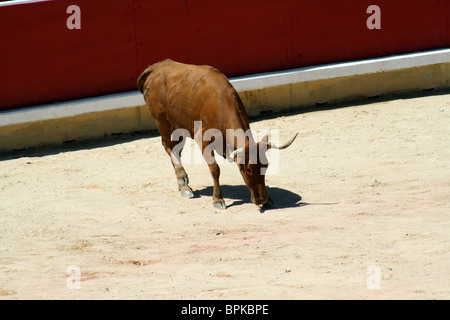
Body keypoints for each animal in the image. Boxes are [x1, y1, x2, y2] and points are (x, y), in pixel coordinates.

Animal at [139, 59, 298, 210]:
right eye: (248, 169)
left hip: (179, 127)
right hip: (162, 122)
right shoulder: (203, 140)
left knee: (176, 150)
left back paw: (183, 185)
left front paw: (270, 199)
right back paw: (183, 183)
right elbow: (215, 169)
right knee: (169, 147)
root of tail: (155, 67)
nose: (262, 199)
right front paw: (218, 199)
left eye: (266, 165)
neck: (221, 105)